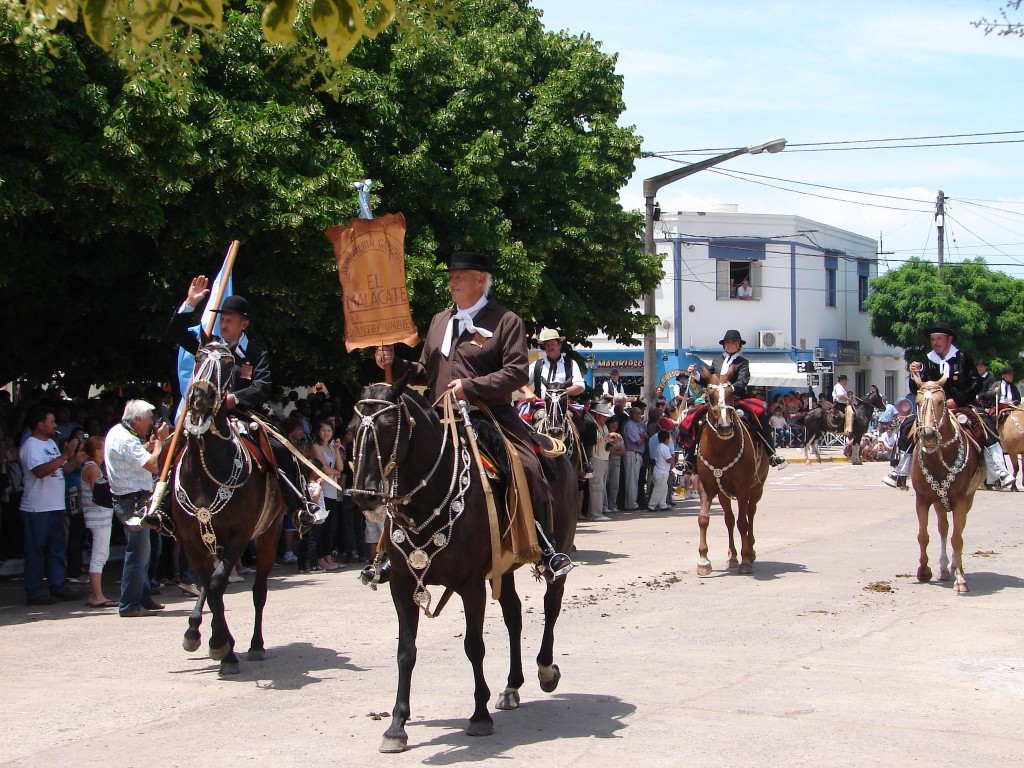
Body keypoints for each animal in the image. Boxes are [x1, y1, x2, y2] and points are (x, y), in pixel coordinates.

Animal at [169, 342, 286, 671]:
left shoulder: (240, 534)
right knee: (210, 586)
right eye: (198, 357)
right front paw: (221, 644)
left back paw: (255, 645)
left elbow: (219, 582)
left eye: (230, 363)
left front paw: (221, 645)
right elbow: (211, 588)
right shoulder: (191, 540)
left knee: (259, 591)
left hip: (269, 535)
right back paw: (195, 630)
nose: (200, 396)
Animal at [350, 382, 577, 753]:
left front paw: (479, 716)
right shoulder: (401, 585)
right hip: (505, 566)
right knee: (513, 614)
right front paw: (397, 726)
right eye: (353, 428)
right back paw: (511, 686)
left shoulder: (470, 585)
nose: (363, 496)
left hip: (559, 548)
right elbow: (405, 652)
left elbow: (474, 646)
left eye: (386, 428)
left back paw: (545, 670)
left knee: (551, 606)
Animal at [696, 372, 770, 577]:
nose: (724, 427)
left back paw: (750, 552)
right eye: (710, 395)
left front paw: (745, 560)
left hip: (757, 488)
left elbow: (743, 523)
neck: (720, 448)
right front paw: (703, 560)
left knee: (750, 514)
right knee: (729, 520)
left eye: (731, 393)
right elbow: (704, 519)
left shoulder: (743, 489)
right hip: (724, 494)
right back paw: (732, 556)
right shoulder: (706, 487)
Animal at [913, 372, 983, 593]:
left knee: (957, 529)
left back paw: (953, 567)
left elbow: (957, 538)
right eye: (917, 402)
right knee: (943, 528)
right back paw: (944, 569)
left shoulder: (960, 500)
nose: (928, 435)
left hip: (967, 499)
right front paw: (923, 571)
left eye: (941, 401)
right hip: (939, 502)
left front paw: (960, 579)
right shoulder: (923, 499)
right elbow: (923, 535)